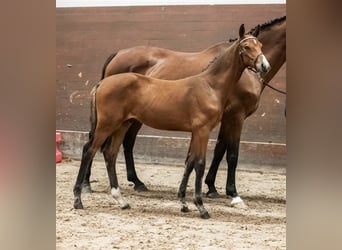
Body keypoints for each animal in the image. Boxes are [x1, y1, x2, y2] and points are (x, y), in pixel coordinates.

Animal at [82, 16, 286, 207]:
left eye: (260, 45)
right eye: (246, 47)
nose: (264, 66)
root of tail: (117, 54)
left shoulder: (223, 119)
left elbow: (219, 149)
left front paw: (211, 187)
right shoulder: (236, 116)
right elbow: (231, 154)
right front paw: (233, 194)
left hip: (131, 118)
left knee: (126, 142)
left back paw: (137, 182)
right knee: (96, 141)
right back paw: (86, 184)